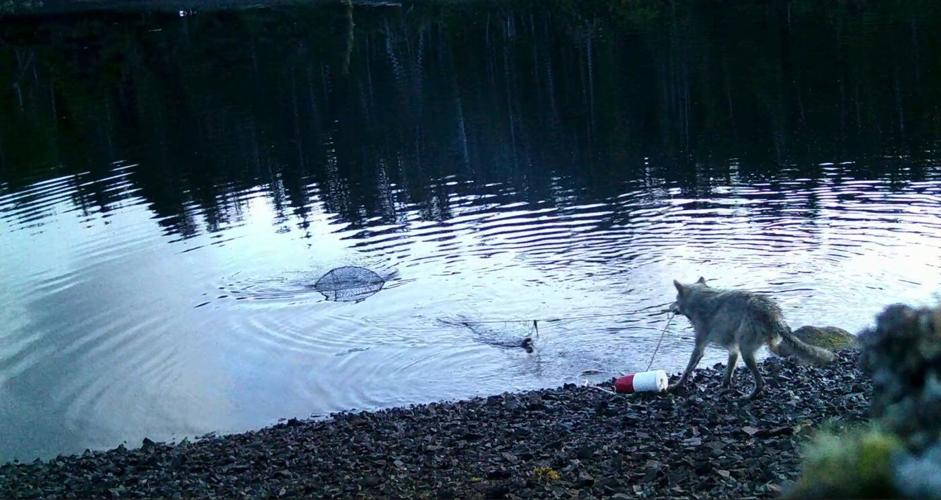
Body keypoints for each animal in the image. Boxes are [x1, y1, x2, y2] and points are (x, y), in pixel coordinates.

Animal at [668, 277, 834, 399]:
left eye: (675, 299)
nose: (669, 307)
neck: (699, 299)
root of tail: (773, 315)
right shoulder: (733, 349)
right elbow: (729, 369)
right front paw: (724, 385)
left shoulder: (700, 346)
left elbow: (688, 369)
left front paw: (677, 385)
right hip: (764, 346)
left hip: (746, 352)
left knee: (761, 382)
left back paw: (748, 396)